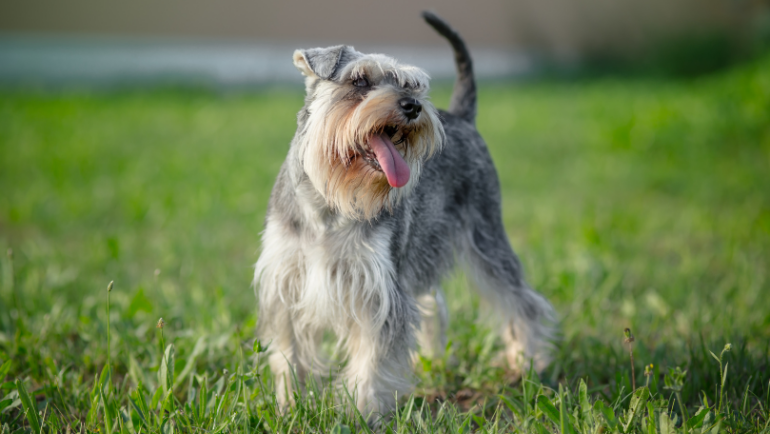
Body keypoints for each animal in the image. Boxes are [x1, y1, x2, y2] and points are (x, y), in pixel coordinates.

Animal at [255, 11, 556, 422]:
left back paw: (527, 362)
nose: (413, 105)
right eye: (359, 81)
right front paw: (290, 405)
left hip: (486, 239)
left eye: (411, 84)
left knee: (521, 301)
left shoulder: (379, 291)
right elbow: (289, 355)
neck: (329, 204)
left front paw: (359, 413)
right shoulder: (286, 285)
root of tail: (462, 117)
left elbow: (372, 360)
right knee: (434, 305)